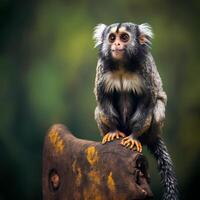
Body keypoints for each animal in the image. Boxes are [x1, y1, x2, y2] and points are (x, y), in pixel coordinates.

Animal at [93, 22, 177, 200]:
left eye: (124, 37)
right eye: (112, 38)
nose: (117, 44)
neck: (122, 66)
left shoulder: (146, 70)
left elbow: (148, 103)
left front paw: (134, 137)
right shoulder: (101, 70)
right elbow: (103, 99)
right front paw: (112, 131)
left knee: (157, 108)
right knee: (98, 110)